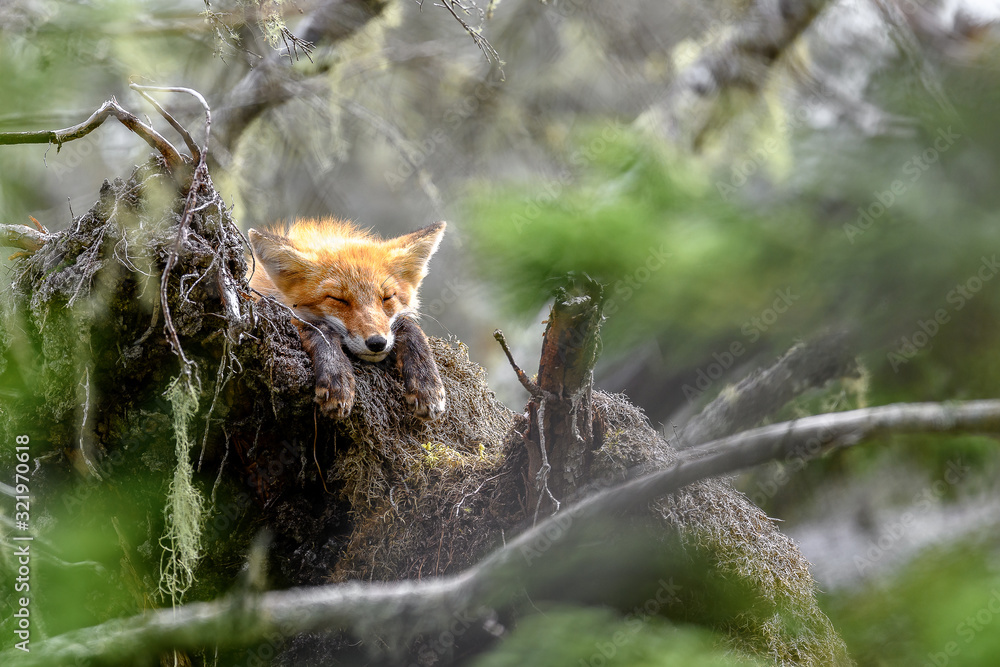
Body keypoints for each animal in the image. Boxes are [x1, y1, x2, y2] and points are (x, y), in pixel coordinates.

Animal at [247, 218, 447, 420]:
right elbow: (320, 327)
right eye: (338, 299)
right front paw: (336, 374)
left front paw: (426, 382)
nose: (377, 343)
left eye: (387, 297)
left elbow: (410, 326)